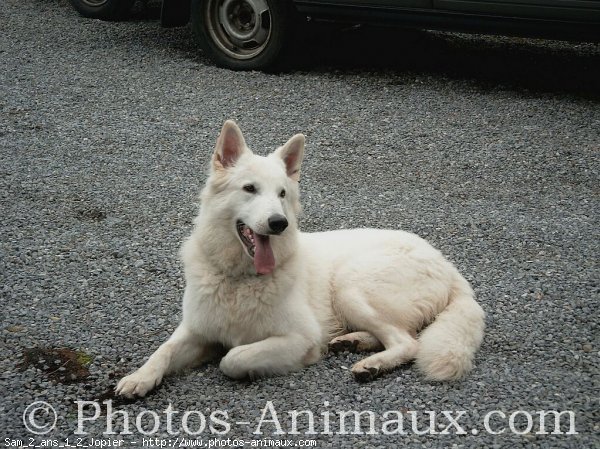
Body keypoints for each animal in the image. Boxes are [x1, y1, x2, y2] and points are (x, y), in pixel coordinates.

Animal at [115, 121, 486, 398]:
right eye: (249, 189)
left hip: (351, 286)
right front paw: (139, 377)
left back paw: (371, 364)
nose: (279, 223)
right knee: (402, 335)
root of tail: (448, 265)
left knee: (408, 342)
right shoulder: (195, 329)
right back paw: (353, 342)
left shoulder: (298, 337)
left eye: (282, 193)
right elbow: (163, 350)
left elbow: (232, 357)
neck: (239, 279)